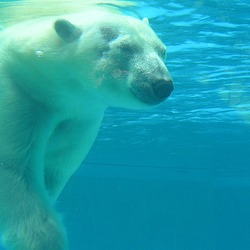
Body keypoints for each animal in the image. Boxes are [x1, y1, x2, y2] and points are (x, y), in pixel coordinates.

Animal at [0, 0, 172, 249]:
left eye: (162, 50)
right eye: (126, 48)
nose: (161, 84)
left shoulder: (81, 116)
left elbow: (54, 167)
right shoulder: (19, 93)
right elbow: (14, 168)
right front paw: (45, 240)